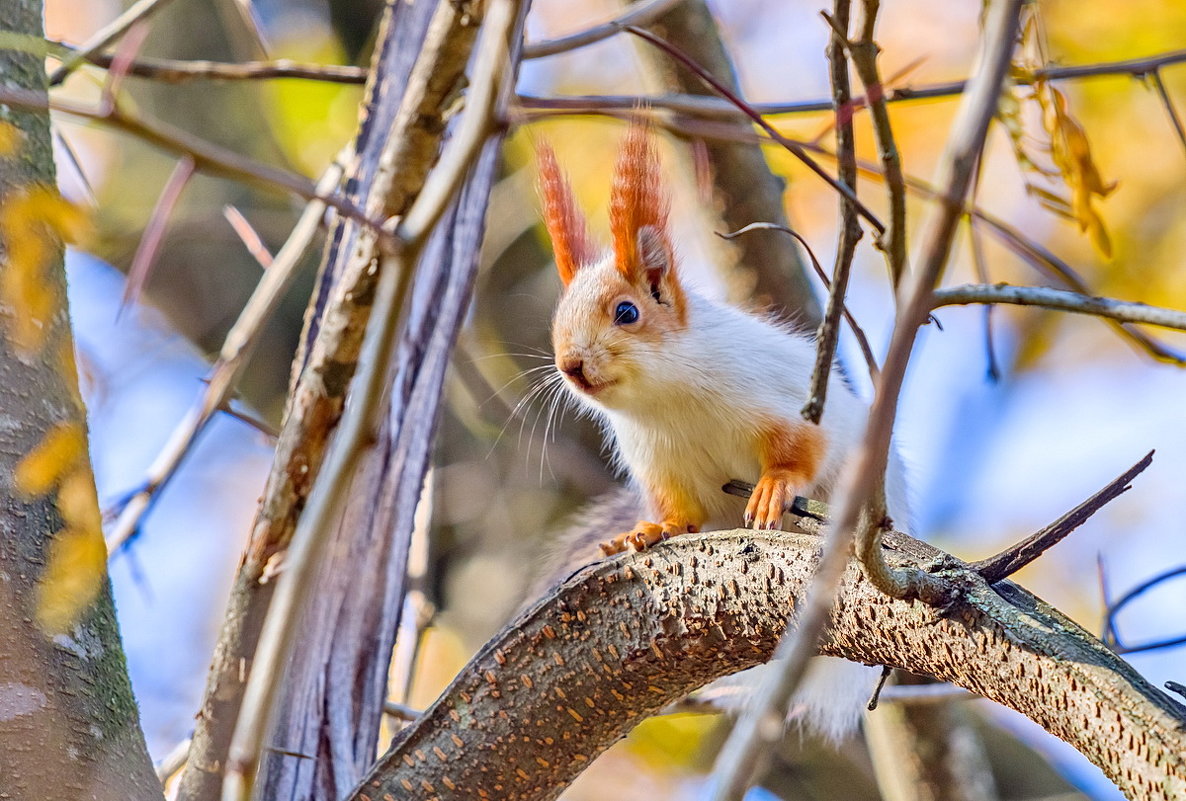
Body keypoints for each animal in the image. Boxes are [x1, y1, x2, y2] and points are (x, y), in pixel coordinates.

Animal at [533, 122, 910, 740]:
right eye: (558, 318)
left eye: (627, 313)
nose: (571, 366)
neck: (662, 400)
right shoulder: (658, 462)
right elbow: (679, 509)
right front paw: (651, 530)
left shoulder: (778, 402)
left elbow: (801, 450)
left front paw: (773, 488)